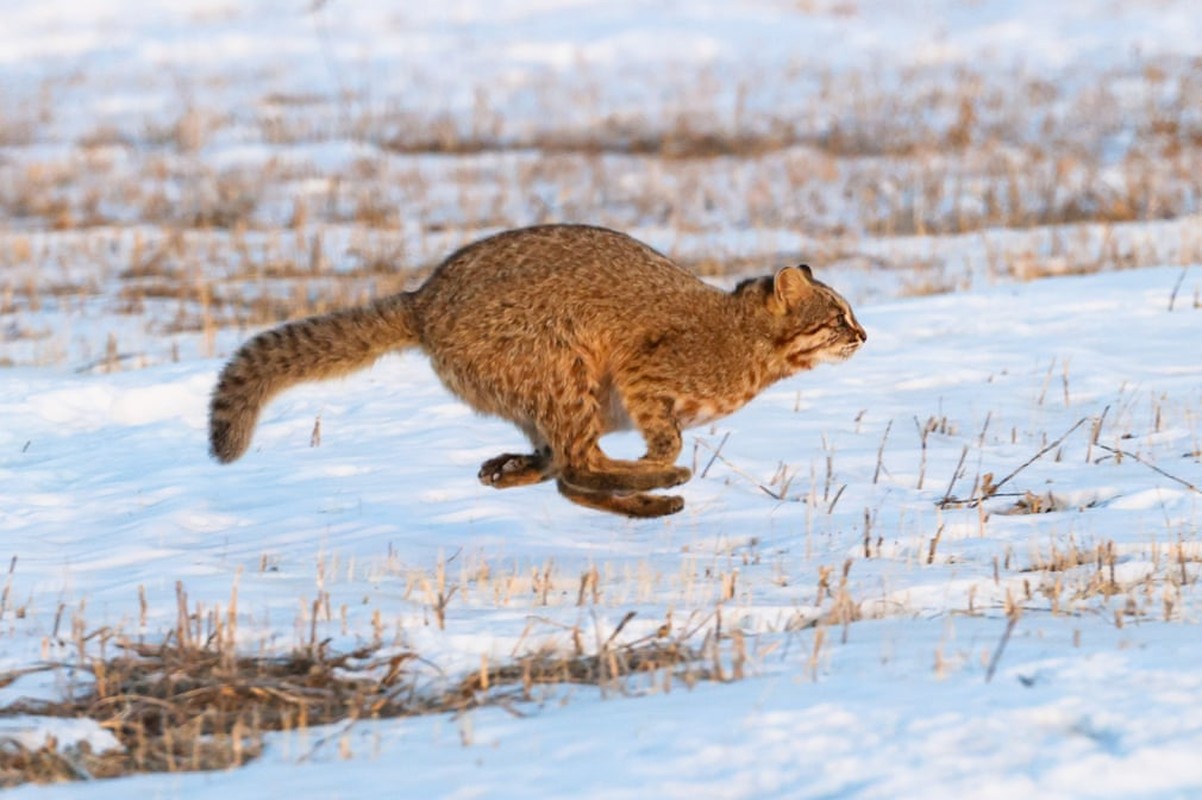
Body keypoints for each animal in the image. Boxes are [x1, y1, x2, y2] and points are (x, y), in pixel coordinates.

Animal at [206, 222, 865, 516]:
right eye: (837, 316)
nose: (863, 334)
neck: (749, 339)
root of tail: (424, 297)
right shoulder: (643, 367)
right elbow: (667, 436)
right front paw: (658, 463)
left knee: (564, 470)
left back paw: (523, 469)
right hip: (559, 364)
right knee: (576, 468)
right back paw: (651, 488)